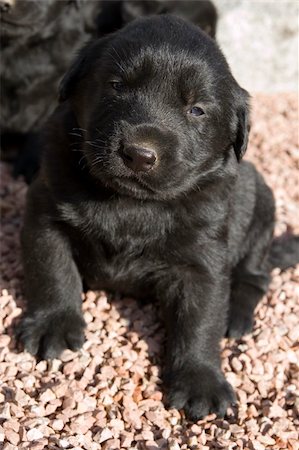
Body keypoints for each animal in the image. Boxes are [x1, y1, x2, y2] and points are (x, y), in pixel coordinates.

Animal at [18, 14, 276, 422]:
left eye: (196, 110)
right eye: (116, 85)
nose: (139, 154)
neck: (131, 203)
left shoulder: (201, 260)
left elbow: (200, 319)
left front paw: (200, 379)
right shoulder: (45, 212)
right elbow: (52, 271)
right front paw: (53, 324)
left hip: (262, 207)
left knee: (254, 277)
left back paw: (235, 316)